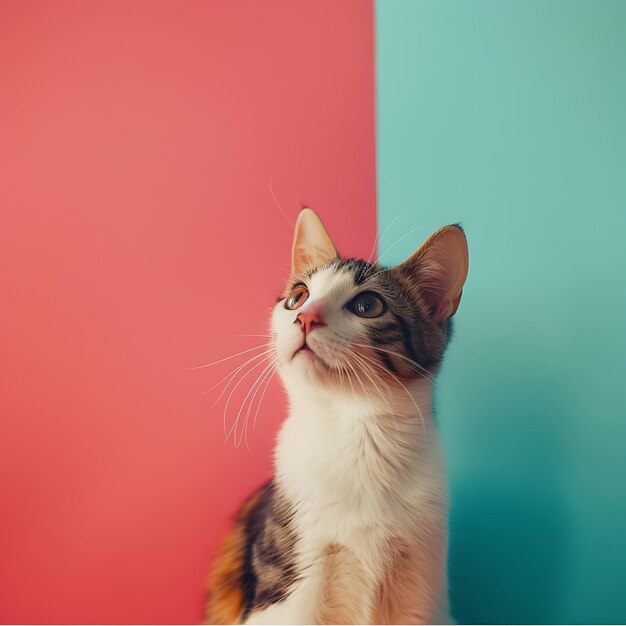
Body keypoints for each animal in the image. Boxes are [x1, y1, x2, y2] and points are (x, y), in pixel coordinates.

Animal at [205, 207, 468, 620]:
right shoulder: (286, 588)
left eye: (367, 306)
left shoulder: (420, 584)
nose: (305, 317)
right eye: (298, 297)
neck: (355, 433)